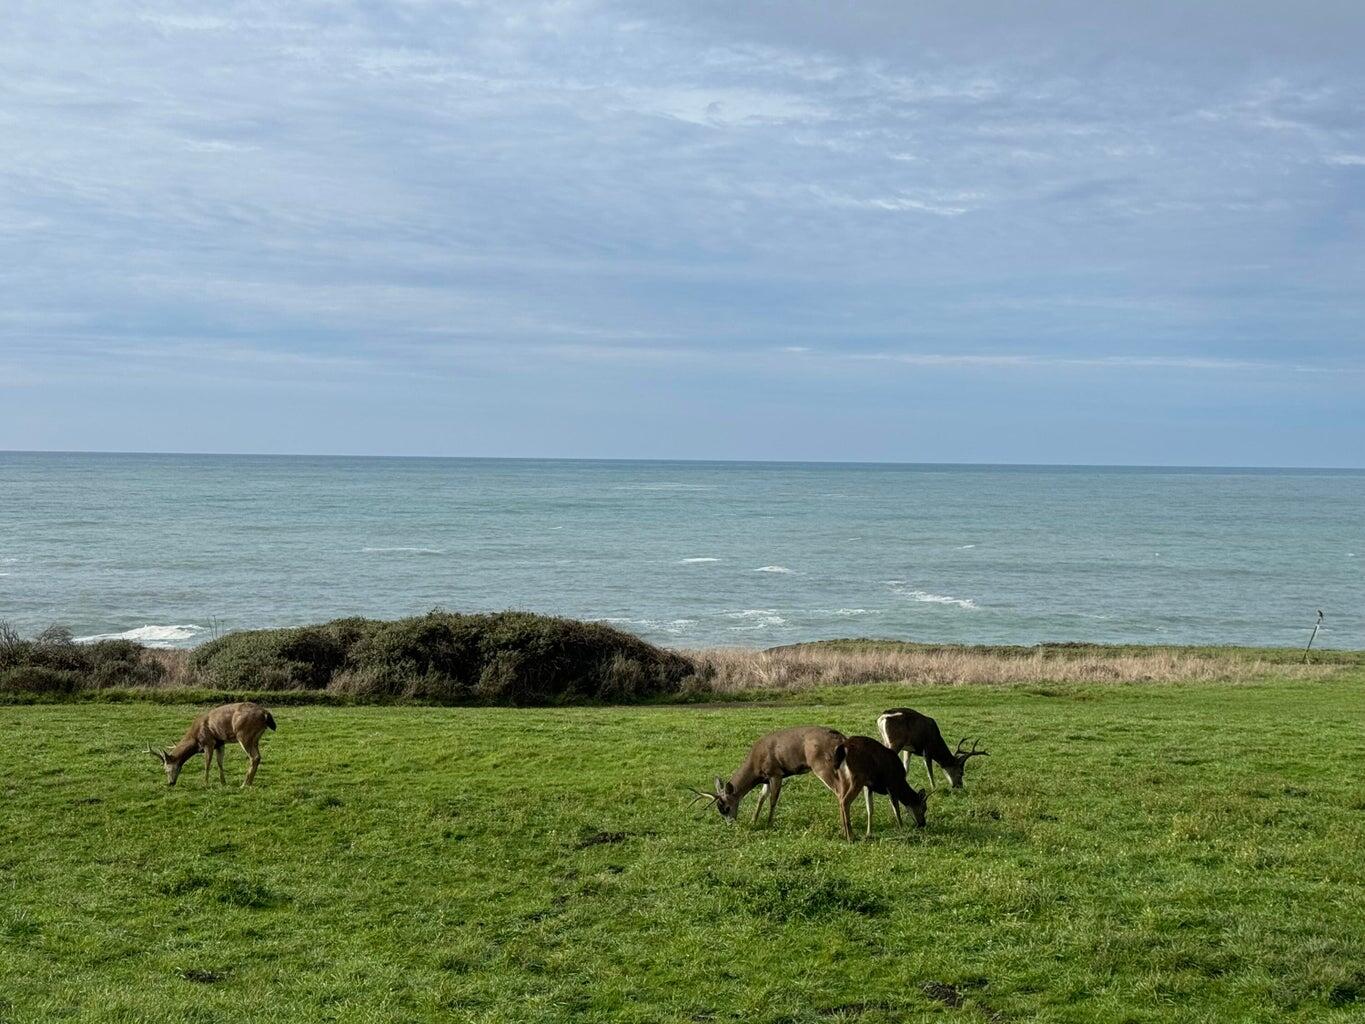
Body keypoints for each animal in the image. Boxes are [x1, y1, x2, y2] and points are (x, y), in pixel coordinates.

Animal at [145, 702, 276, 787]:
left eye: (165, 769)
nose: (170, 783)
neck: (195, 738)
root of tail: (266, 714)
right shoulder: (220, 743)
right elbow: (219, 763)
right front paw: (223, 783)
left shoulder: (208, 742)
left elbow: (207, 764)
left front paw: (205, 783)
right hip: (255, 738)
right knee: (258, 757)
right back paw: (249, 782)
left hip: (244, 735)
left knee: (254, 757)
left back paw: (244, 784)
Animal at [691, 726, 848, 828]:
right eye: (720, 810)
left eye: (727, 808)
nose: (730, 824)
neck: (755, 766)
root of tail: (842, 739)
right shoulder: (766, 778)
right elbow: (761, 798)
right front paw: (753, 820)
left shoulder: (775, 772)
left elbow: (773, 799)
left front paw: (769, 823)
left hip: (822, 765)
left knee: (839, 790)